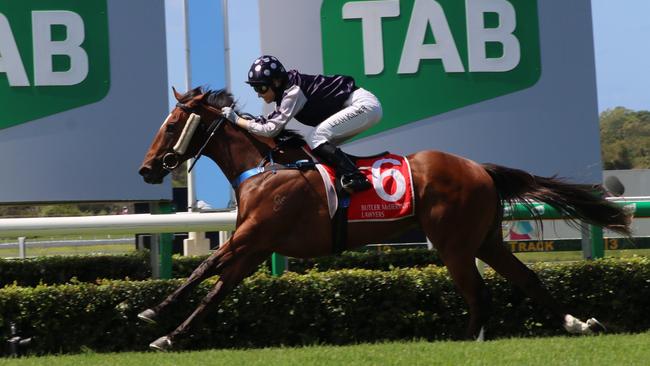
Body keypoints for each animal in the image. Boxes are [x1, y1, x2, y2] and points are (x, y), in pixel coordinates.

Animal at [137, 86, 628, 352]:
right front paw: (167, 332)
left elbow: (204, 268)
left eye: (172, 124)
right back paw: (579, 323)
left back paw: (467, 340)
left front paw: (151, 312)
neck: (266, 166)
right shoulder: (256, 246)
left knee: (478, 291)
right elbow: (214, 290)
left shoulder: (253, 237)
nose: (146, 169)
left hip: (453, 243)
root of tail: (480, 168)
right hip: (485, 239)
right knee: (526, 279)